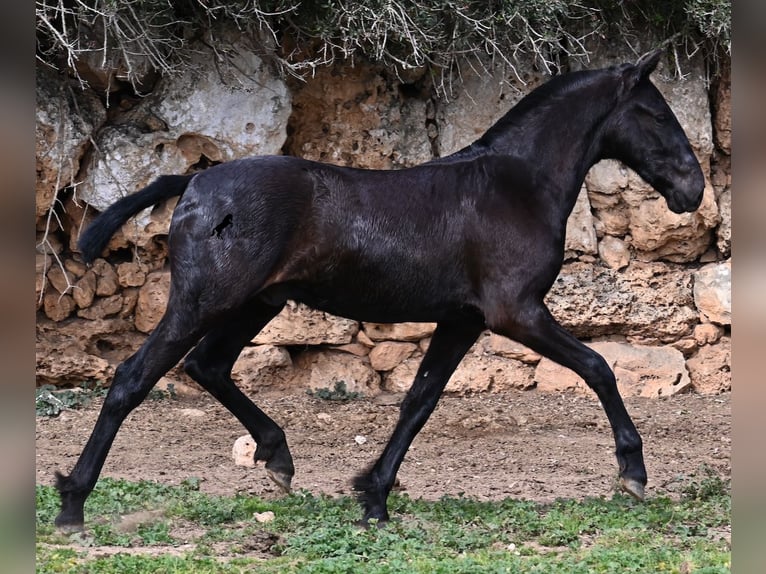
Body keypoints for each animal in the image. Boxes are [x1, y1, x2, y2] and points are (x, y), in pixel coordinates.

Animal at [54, 49, 704, 532]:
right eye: (656, 114)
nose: (693, 191)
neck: (515, 185)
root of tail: (193, 183)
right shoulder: (515, 313)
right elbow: (599, 367)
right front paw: (633, 472)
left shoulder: (463, 319)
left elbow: (419, 400)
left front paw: (372, 495)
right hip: (205, 301)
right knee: (132, 378)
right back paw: (72, 503)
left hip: (256, 303)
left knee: (207, 366)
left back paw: (278, 458)